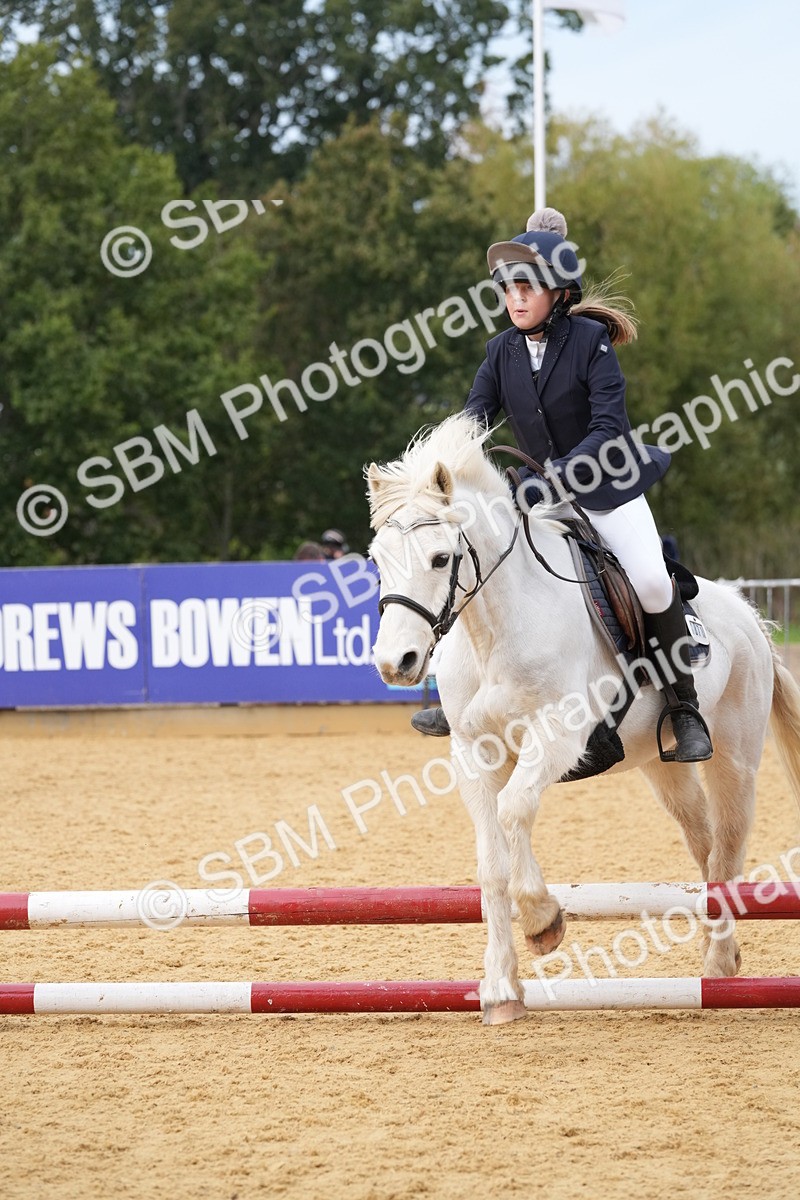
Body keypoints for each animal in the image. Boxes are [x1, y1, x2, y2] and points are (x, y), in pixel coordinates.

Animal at [366, 414, 800, 1025]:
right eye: (377, 560)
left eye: (440, 559)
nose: (396, 662)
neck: (495, 630)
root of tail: (750, 616)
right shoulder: (473, 752)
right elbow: (490, 865)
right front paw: (500, 989)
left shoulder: (556, 738)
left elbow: (514, 809)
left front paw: (543, 921)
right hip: (663, 769)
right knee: (705, 843)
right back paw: (721, 953)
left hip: (735, 759)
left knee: (730, 851)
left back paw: (717, 967)